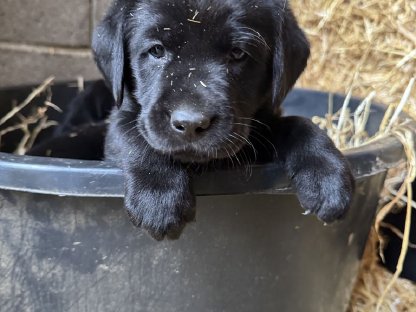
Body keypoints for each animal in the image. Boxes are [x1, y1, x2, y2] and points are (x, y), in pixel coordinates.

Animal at [92, 0, 354, 241]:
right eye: (156, 50)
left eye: (238, 53)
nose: (191, 123)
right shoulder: (118, 121)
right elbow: (131, 134)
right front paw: (158, 194)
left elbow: (298, 124)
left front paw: (327, 175)